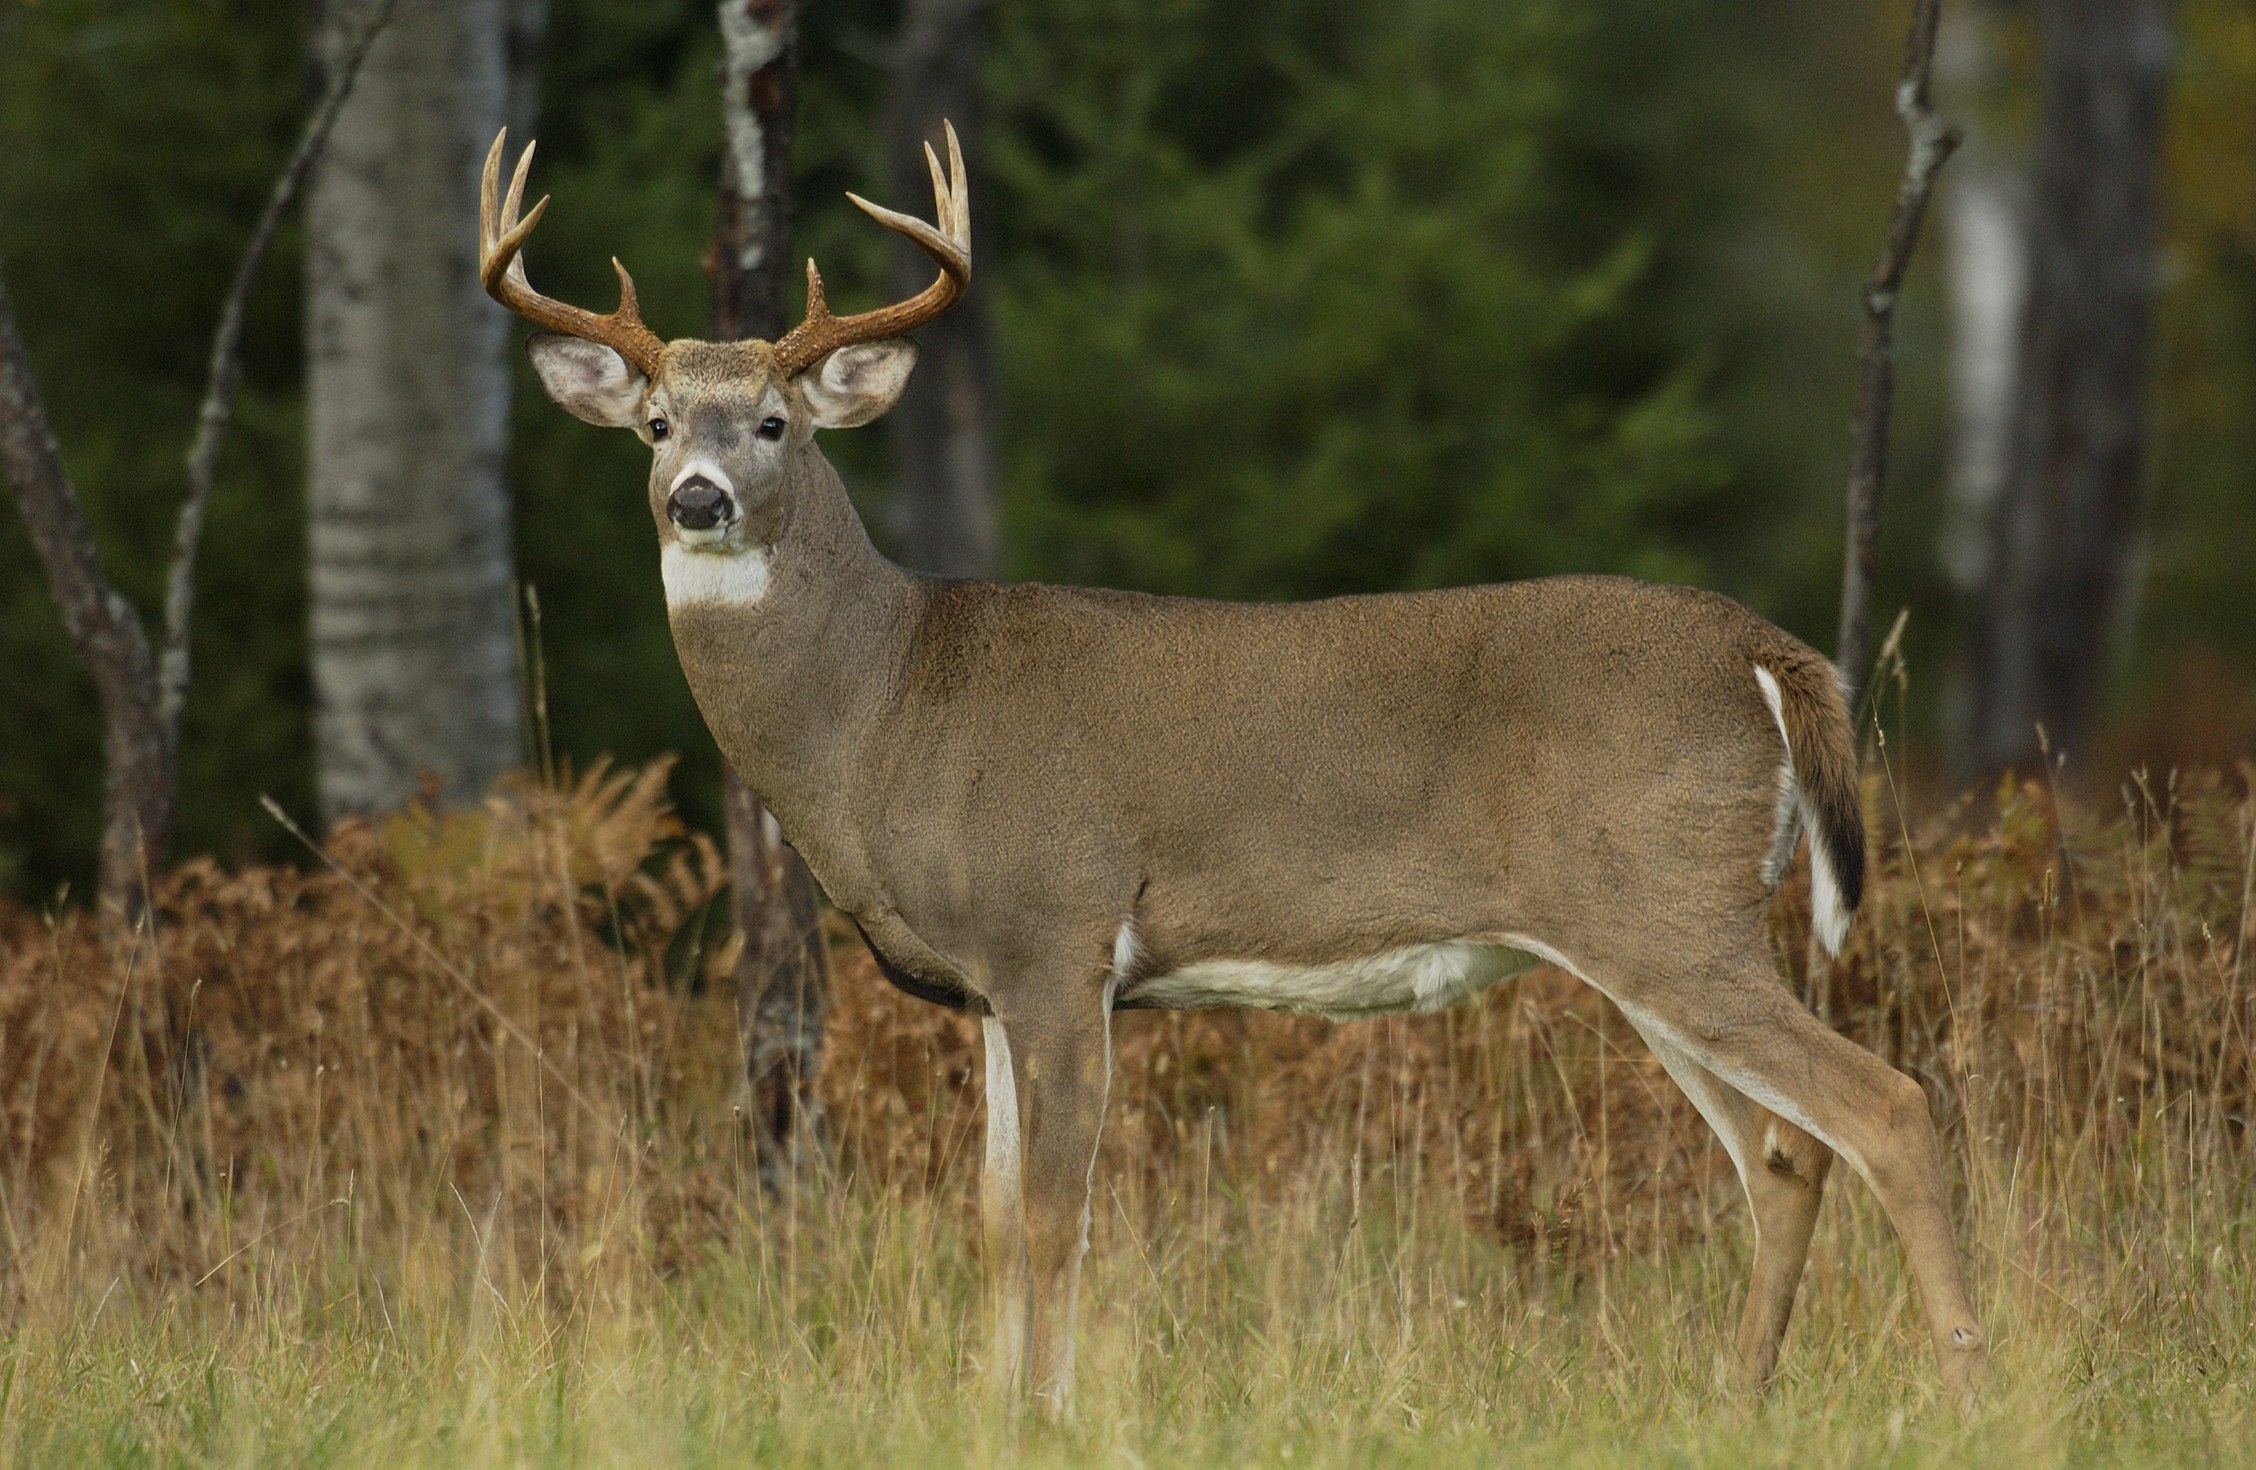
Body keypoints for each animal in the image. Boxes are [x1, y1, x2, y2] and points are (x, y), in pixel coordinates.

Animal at [480, 123, 1994, 1397]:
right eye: (656, 423)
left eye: (775, 424)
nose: (698, 499)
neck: (887, 705)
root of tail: (1775, 656)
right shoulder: (988, 986)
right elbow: (992, 1219)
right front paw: (992, 1407)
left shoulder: (1058, 931)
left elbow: (1057, 1220)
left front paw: (1047, 1413)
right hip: (1656, 925)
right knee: (1788, 1155)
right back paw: (1738, 1394)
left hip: (1666, 906)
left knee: (1887, 1106)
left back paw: (1966, 1384)